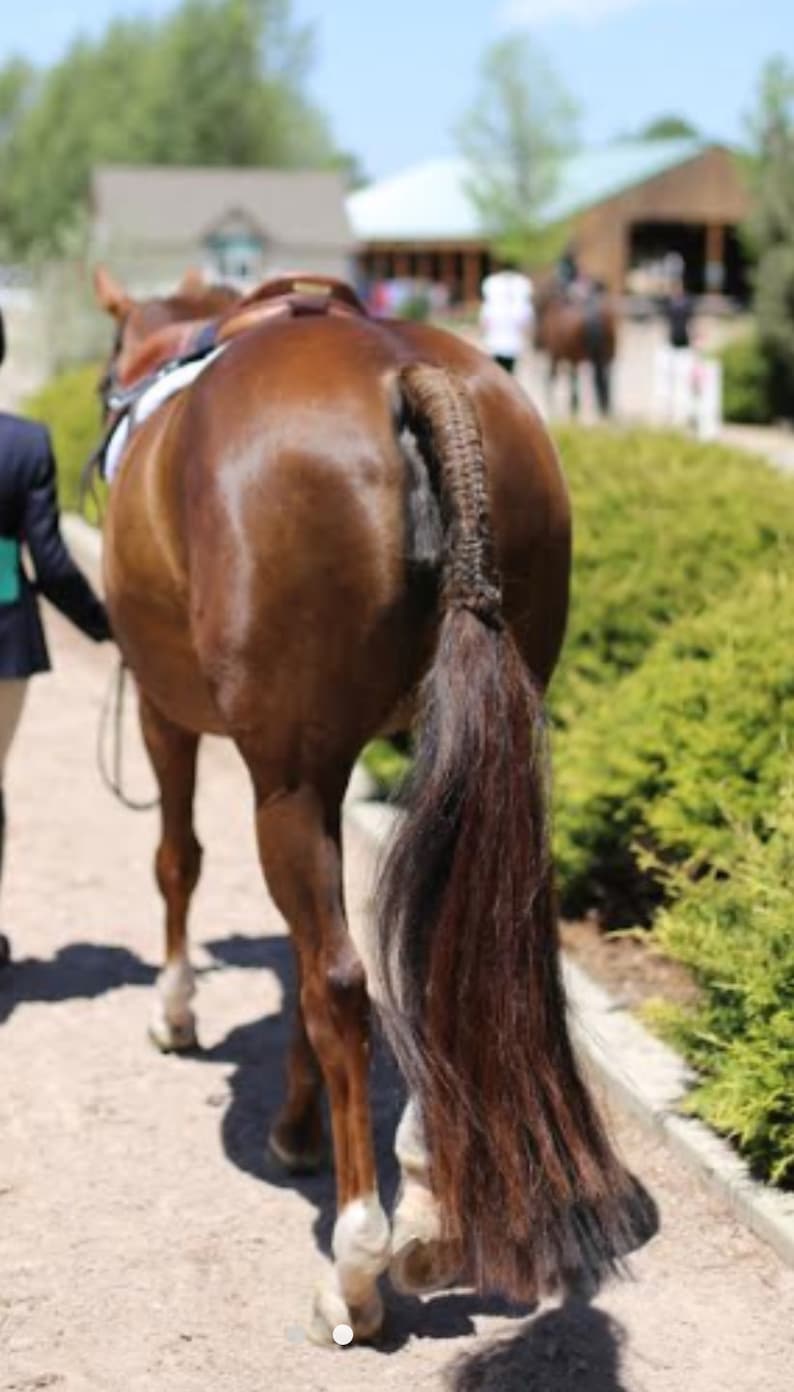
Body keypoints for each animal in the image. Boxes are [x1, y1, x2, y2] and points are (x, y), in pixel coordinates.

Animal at [534, 278, 617, 419]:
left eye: (537, 306)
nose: (537, 344)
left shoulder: (557, 356)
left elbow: (558, 377)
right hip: (607, 355)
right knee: (606, 379)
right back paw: (606, 409)